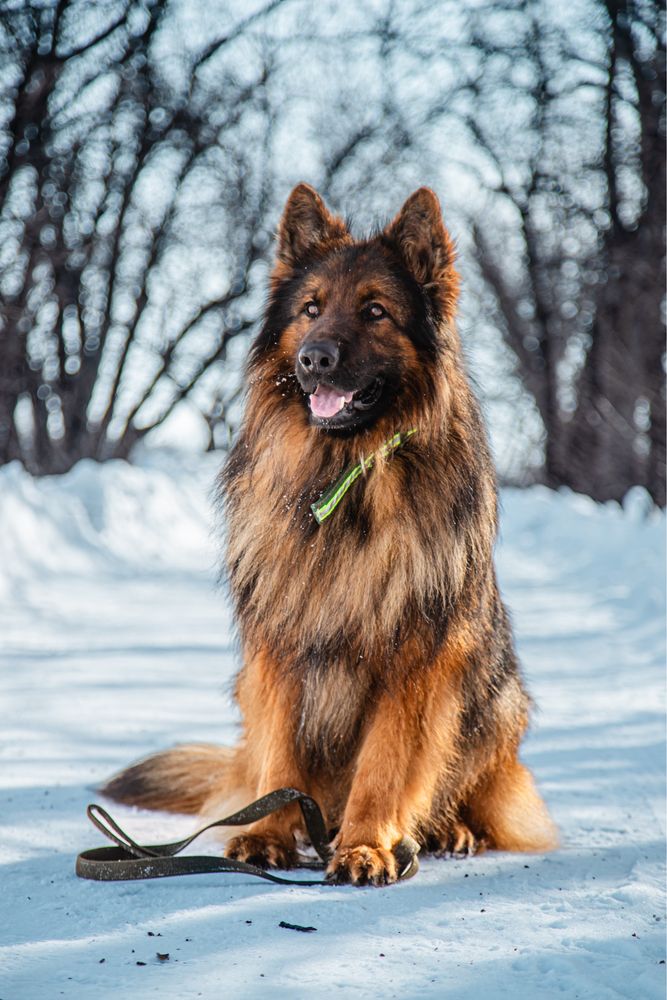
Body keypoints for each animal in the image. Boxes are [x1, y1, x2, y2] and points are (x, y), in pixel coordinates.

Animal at [104, 186, 560, 884]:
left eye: (375, 311)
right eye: (311, 309)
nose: (313, 359)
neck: (348, 476)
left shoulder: (413, 662)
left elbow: (386, 765)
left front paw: (366, 845)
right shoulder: (280, 650)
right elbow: (280, 763)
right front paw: (267, 834)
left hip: (497, 698)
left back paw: (444, 830)